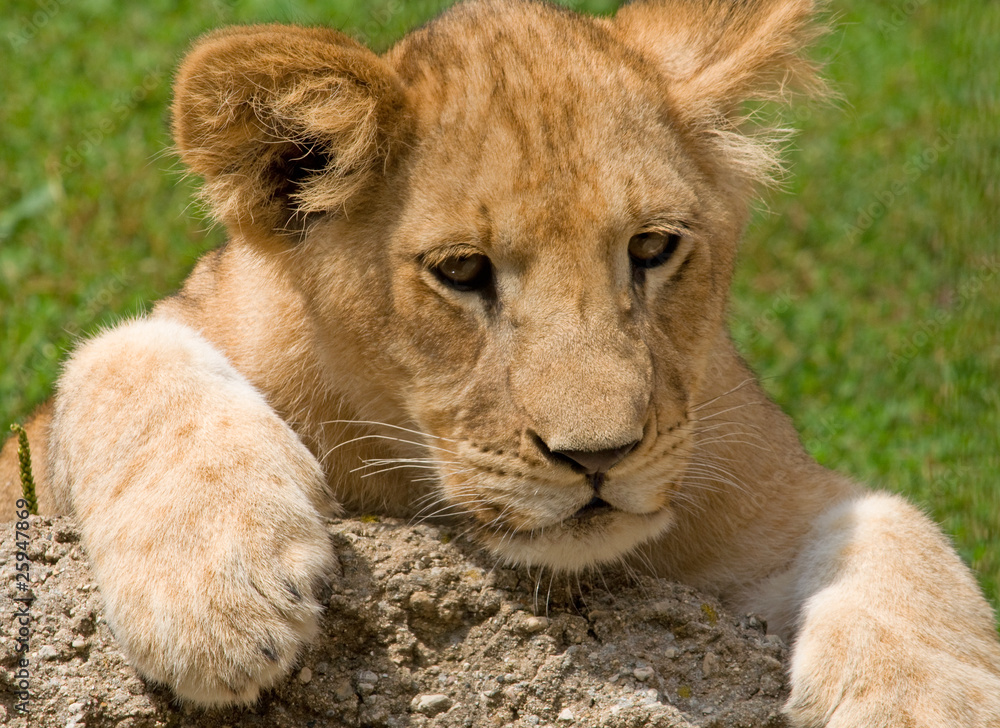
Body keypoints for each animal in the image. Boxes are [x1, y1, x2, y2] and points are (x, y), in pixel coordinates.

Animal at [2, 0, 998, 724]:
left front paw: (923, 704)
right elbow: (120, 350)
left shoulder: (757, 495)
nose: (599, 457)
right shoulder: (48, 449)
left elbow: (896, 526)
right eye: (461, 271)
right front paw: (215, 592)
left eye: (652, 247)